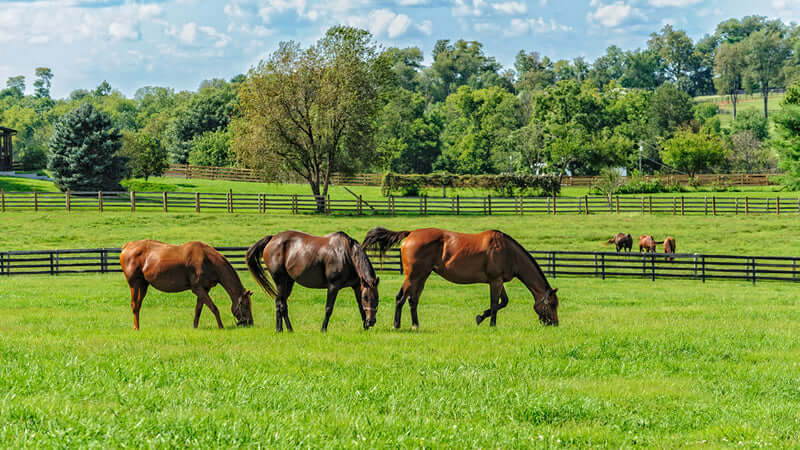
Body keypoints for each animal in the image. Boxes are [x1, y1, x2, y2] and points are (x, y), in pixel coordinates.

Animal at [120, 240, 254, 330]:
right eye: (246, 306)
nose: (250, 323)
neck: (208, 260)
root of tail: (127, 246)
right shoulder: (198, 288)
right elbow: (214, 308)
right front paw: (221, 326)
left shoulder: (204, 289)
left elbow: (198, 310)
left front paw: (195, 327)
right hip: (134, 284)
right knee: (134, 305)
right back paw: (136, 328)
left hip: (143, 285)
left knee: (138, 306)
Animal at [246, 231, 379, 332]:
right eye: (366, 297)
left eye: (377, 298)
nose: (371, 321)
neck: (347, 254)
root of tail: (272, 238)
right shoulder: (333, 286)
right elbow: (328, 308)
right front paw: (323, 329)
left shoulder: (357, 286)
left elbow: (360, 307)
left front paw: (365, 328)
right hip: (280, 281)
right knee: (281, 304)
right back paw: (286, 329)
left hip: (289, 282)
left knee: (280, 303)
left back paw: (282, 329)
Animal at [362, 227, 558, 329]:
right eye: (552, 304)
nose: (554, 323)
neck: (508, 251)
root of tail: (410, 233)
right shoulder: (495, 281)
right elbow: (495, 303)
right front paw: (490, 323)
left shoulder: (498, 281)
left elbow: (503, 302)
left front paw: (482, 317)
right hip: (413, 276)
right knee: (400, 298)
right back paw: (396, 325)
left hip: (422, 277)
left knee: (413, 300)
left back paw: (415, 325)